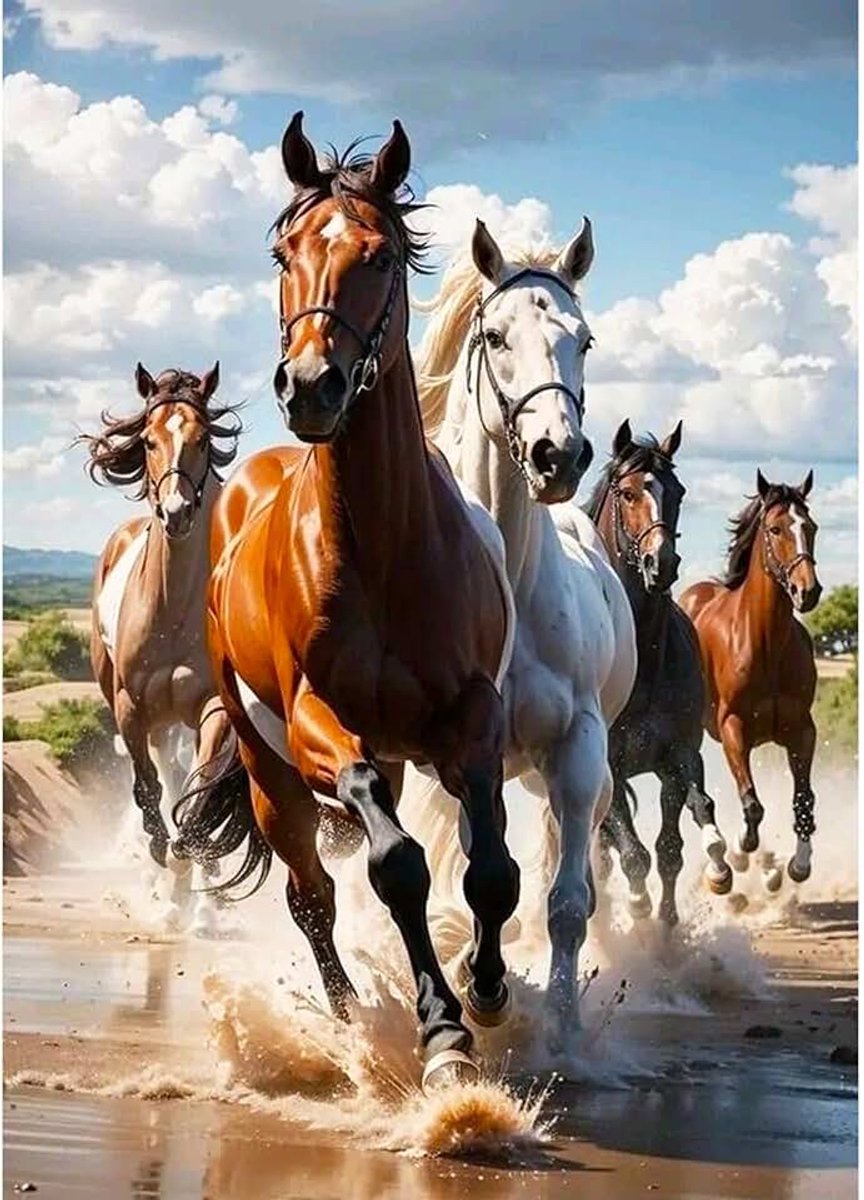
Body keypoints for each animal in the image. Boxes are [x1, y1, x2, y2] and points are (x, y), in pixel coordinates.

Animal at [80, 363, 245, 933]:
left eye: (202, 440)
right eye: (149, 441)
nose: (175, 513)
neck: (172, 607)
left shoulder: (213, 709)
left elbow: (197, 797)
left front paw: (190, 885)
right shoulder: (132, 709)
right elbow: (149, 792)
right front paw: (159, 865)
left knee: (182, 780)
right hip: (154, 719)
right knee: (161, 778)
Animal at [174, 114, 520, 1093]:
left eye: (379, 255)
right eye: (284, 253)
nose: (310, 385)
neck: (386, 551)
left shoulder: (471, 716)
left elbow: (490, 866)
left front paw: (486, 986)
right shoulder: (321, 726)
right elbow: (397, 866)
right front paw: (442, 1035)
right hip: (270, 772)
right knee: (312, 894)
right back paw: (350, 1020)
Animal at [398, 218, 637, 1043]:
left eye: (584, 339)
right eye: (496, 336)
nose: (557, 456)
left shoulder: (578, 749)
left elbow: (565, 903)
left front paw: (561, 1027)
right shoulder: (468, 757)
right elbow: (482, 872)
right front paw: (482, 986)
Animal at [586, 420, 732, 926]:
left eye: (679, 492)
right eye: (628, 493)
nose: (661, 563)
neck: (643, 657)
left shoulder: (678, 758)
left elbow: (672, 845)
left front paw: (670, 923)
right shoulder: (607, 767)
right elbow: (633, 855)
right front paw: (639, 908)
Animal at [679, 470, 822, 887]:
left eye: (810, 527)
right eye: (775, 528)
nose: (808, 591)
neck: (765, 644)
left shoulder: (801, 729)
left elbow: (803, 799)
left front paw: (799, 865)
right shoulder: (733, 728)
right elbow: (752, 803)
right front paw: (743, 849)